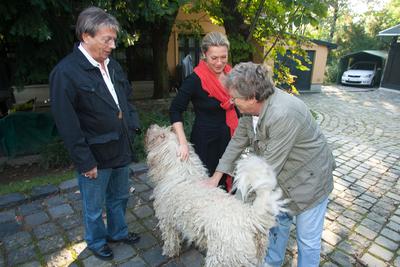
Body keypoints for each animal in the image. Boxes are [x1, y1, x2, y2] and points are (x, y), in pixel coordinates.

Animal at [145, 125, 286, 267]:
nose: (151, 126)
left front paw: (169, 252)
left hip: (222, 257)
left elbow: (170, 240)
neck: (182, 172)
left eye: (162, 135)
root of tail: (250, 219)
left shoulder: (166, 220)